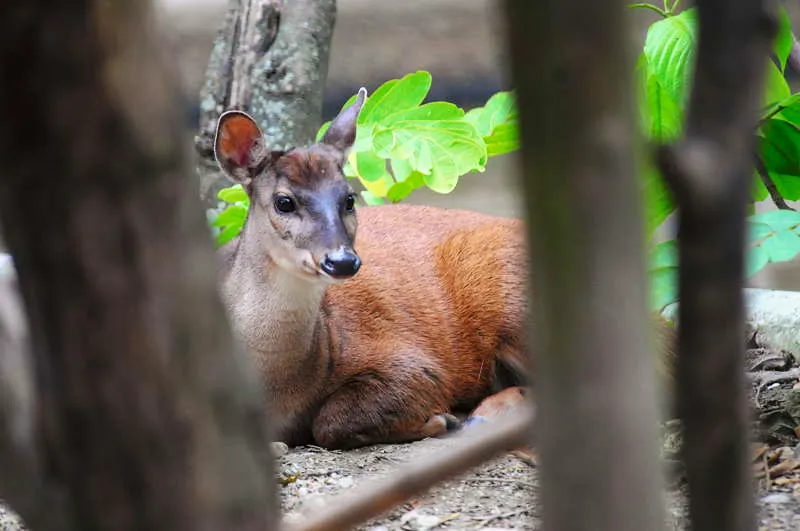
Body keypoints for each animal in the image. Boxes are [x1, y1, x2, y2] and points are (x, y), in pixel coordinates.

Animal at [212, 87, 676, 448]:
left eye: (348, 198)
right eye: (283, 202)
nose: (342, 260)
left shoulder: (413, 363)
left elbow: (331, 422)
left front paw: (438, 419)